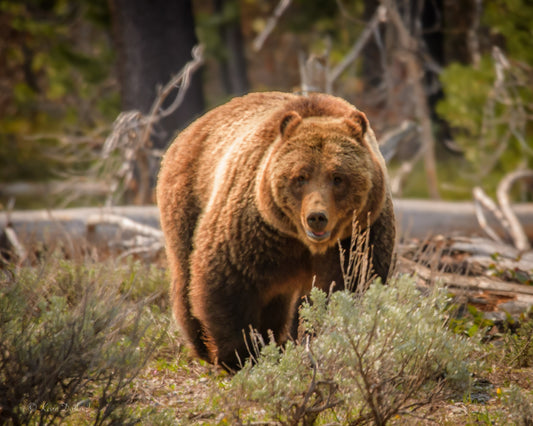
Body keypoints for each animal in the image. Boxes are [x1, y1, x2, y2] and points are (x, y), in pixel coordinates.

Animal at [156, 91, 392, 368]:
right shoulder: (255, 230)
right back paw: (202, 345)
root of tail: (189, 130)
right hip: (187, 198)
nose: (316, 217)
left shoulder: (359, 235)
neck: (304, 243)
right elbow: (226, 280)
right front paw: (241, 354)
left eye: (338, 177)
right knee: (185, 274)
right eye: (300, 177)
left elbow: (349, 283)